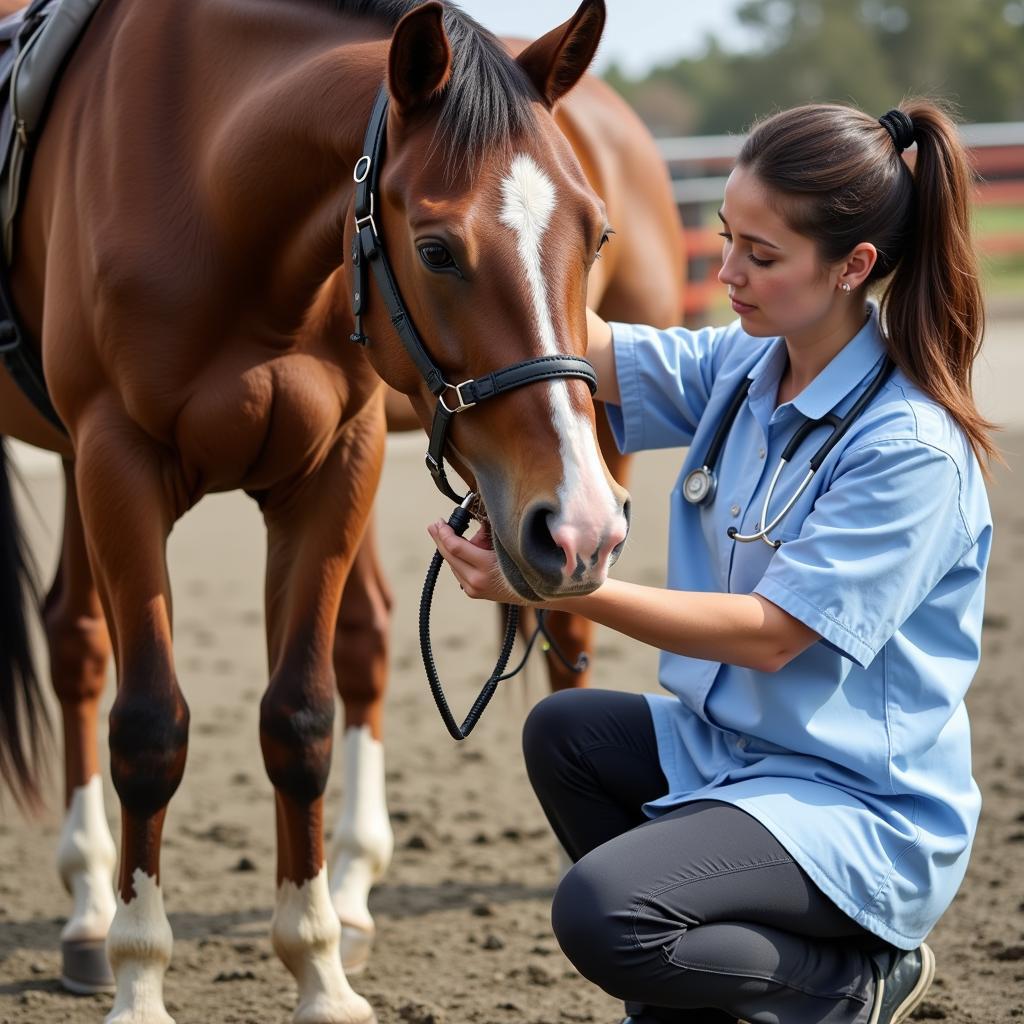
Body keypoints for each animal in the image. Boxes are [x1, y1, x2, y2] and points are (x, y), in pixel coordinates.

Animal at [0, 2, 630, 1024]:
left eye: (598, 234)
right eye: (437, 249)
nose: (580, 524)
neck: (207, 177)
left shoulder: (337, 465)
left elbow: (300, 718)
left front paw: (320, 972)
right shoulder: (117, 460)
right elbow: (149, 728)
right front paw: (141, 976)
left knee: (74, 637)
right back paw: (96, 914)